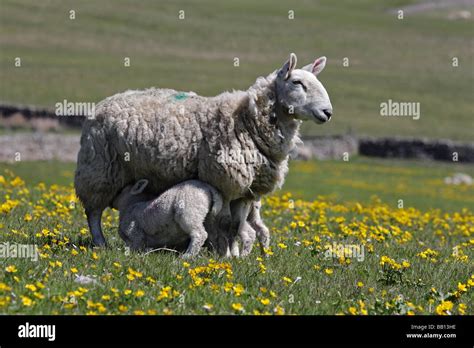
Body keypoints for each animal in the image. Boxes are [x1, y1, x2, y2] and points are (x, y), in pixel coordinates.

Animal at [76, 53, 332, 256]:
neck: (246, 121)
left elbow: (237, 225)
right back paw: (100, 243)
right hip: (99, 169)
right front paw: (227, 255)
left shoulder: (245, 190)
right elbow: (227, 223)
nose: (328, 112)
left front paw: (234, 255)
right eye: (297, 82)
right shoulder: (223, 182)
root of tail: (106, 102)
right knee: (94, 212)